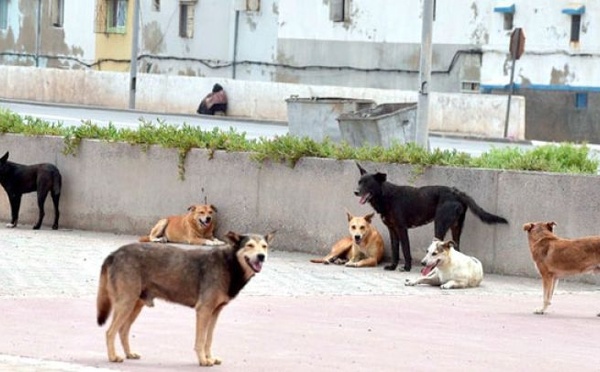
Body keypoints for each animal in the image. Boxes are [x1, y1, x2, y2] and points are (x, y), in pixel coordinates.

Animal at [97, 230, 276, 366]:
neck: (230, 264)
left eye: (264, 247)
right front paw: (203, 360)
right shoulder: (203, 310)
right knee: (110, 332)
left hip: (135, 305)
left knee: (122, 330)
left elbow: (208, 339)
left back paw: (129, 354)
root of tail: (114, 254)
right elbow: (200, 340)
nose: (261, 256)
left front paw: (209, 357)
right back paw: (113, 357)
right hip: (126, 303)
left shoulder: (214, 313)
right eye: (249, 245)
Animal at [354, 162, 508, 270]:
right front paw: (392, 266)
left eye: (368, 183)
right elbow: (395, 250)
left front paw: (407, 268)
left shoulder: (402, 229)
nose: (355, 192)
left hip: (439, 225)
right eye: (359, 182)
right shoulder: (392, 230)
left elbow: (405, 249)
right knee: (456, 249)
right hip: (456, 227)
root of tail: (457, 193)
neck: (386, 196)